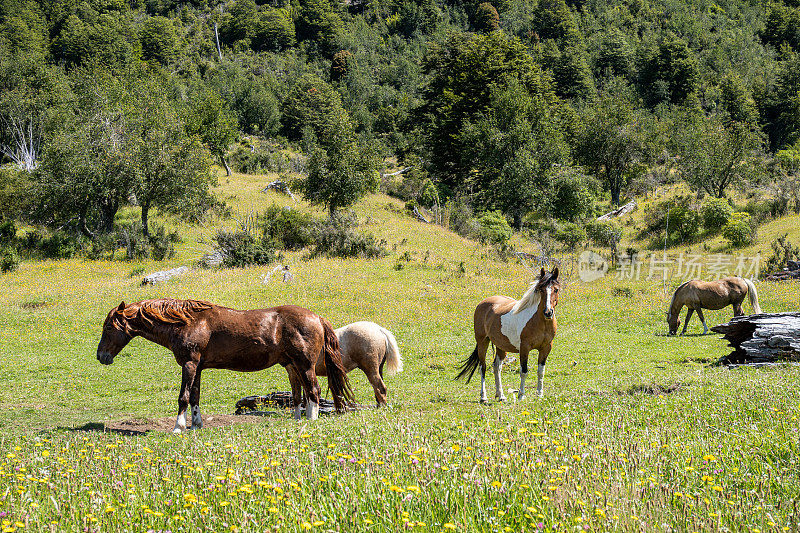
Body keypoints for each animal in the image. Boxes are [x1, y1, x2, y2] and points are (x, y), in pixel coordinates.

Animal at [96, 298, 354, 430]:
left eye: (108, 327)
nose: (101, 356)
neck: (187, 322)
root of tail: (317, 317)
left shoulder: (189, 364)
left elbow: (183, 397)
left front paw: (179, 427)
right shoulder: (197, 367)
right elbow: (195, 397)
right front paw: (196, 425)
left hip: (305, 365)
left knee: (314, 391)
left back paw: (311, 421)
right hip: (292, 366)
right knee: (299, 394)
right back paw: (298, 419)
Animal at [456, 268, 564, 402]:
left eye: (556, 289)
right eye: (541, 289)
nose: (548, 312)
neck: (540, 322)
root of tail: (482, 303)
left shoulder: (546, 348)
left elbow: (541, 371)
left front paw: (539, 394)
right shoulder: (524, 348)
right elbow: (524, 371)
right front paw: (521, 396)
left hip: (501, 346)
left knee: (497, 367)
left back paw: (501, 395)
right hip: (482, 342)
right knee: (483, 367)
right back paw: (483, 397)